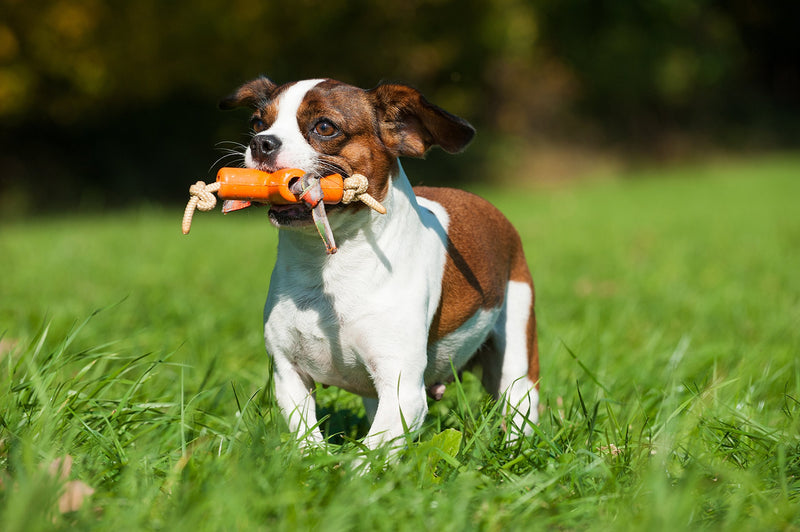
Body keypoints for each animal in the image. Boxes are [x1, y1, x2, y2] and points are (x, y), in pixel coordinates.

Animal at [220, 76, 536, 448]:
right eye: (257, 123)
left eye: (324, 126)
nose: (262, 143)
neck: (329, 270)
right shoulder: (289, 375)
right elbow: (308, 440)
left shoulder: (403, 392)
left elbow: (369, 454)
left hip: (516, 354)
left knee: (520, 401)